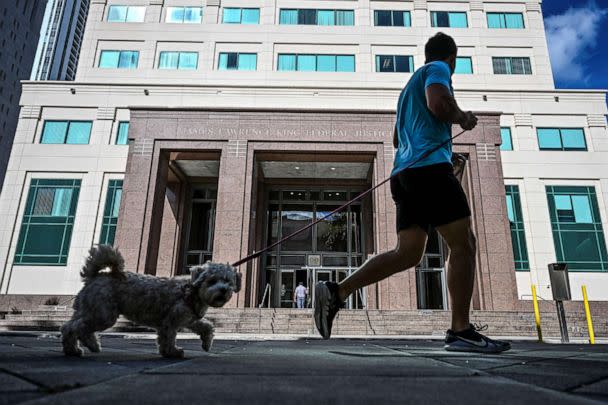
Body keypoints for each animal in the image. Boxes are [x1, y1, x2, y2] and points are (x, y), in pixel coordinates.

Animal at [60, 243, 241, 356]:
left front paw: (206, 343)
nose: (224, 290)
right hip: (103, 314)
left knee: (72, 327)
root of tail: (96, 276)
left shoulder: (189, 318)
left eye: (228, 281)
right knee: (75, 328)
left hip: (89, 310)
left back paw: (83, 347)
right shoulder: (171, 320)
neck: (192, 291)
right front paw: (172, 352)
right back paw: (79, 348)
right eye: (212, 280)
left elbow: (207, 326)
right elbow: (168, 338)